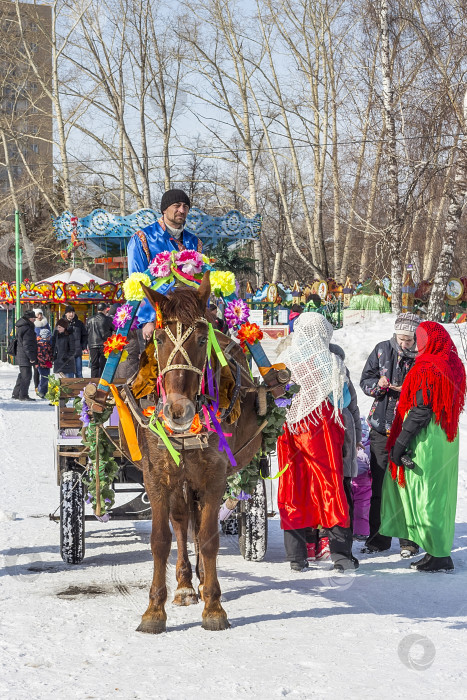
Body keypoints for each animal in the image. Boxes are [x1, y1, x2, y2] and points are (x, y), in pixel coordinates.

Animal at [124, 270, 264, 632]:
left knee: (197, 522)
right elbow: (161, 539)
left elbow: (210, 536)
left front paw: (214, 606)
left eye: (202, 340)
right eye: (159, 339)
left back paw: (199, 582)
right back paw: (186, 584)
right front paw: (154, 610)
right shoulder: (157, 475)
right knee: (181, 520)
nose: (178, 410)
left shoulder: (214, 475)